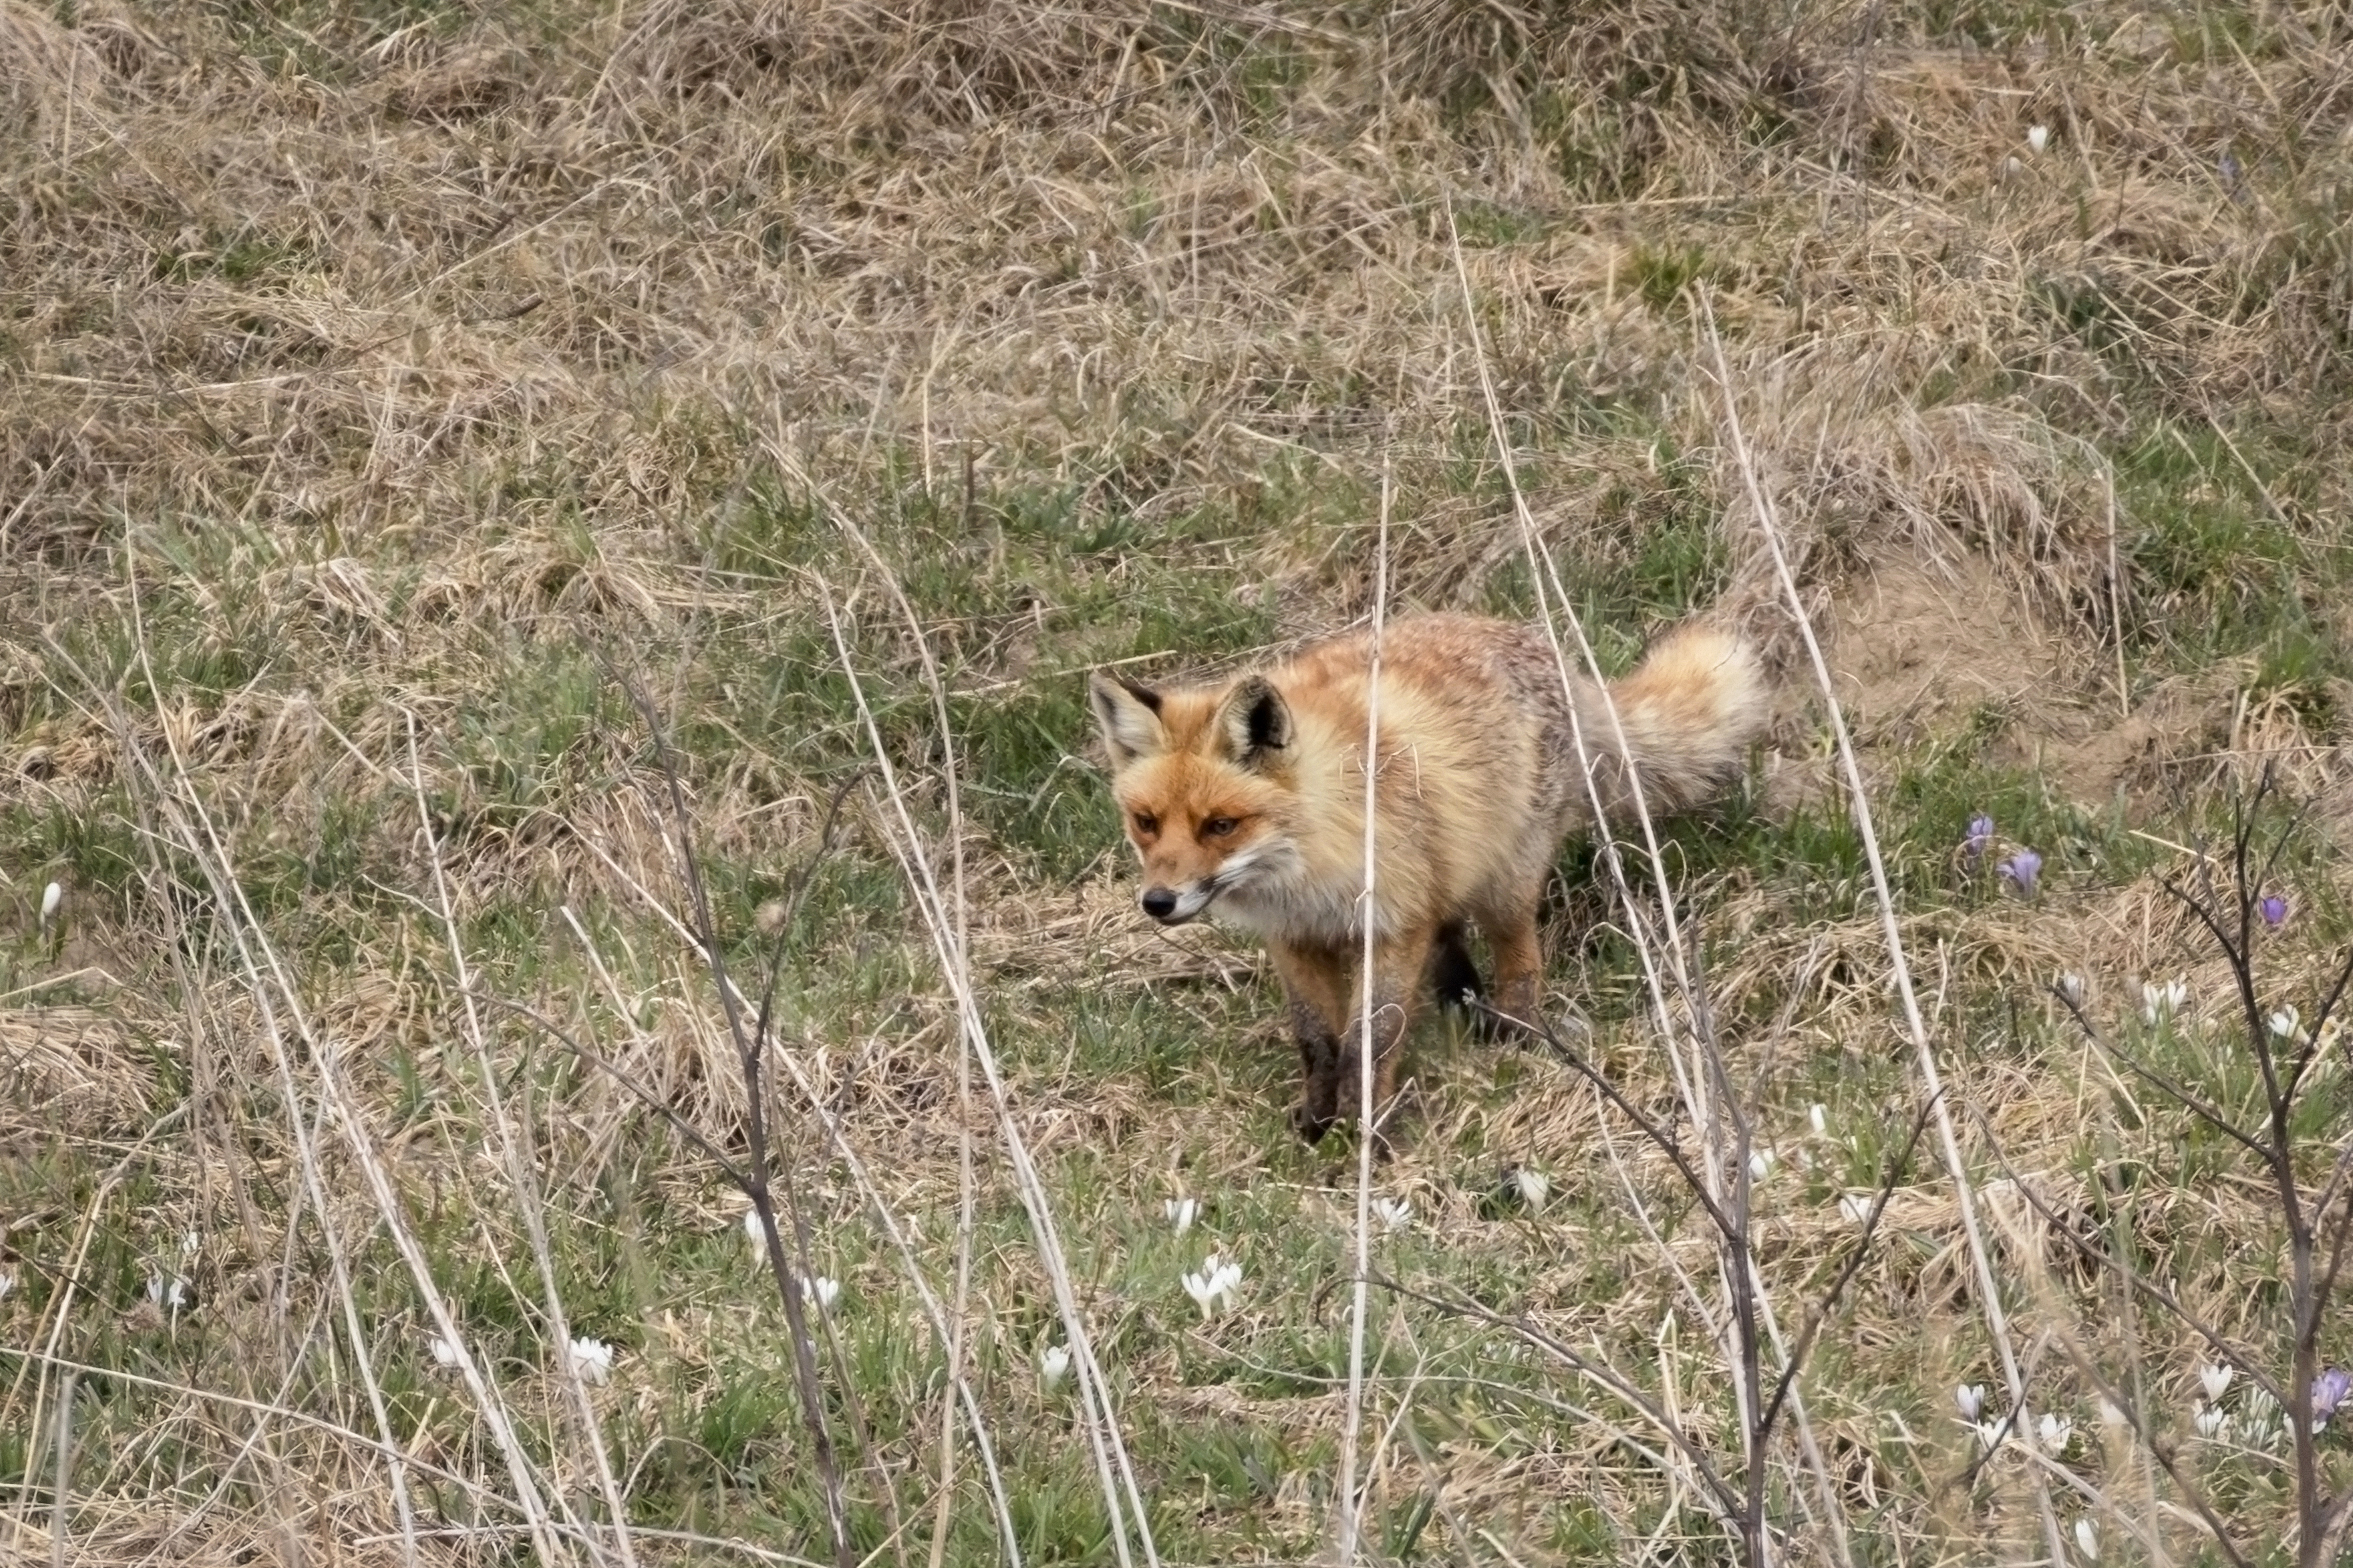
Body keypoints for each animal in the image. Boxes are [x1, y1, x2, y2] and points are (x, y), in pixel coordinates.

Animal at [1090, 613, 1767, 1144]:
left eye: (1220, 825)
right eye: (1146, 823)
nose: (1157, 902)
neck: (1308, 860)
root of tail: (1541, 645)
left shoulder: (1389, 925)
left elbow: (1371, 1041)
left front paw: (1371, 1133)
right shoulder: (1295, 938)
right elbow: (1317, 1042)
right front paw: (1317, 1124)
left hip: (1506, 882)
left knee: (1519, 957)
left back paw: (1517, 1032)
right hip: (1444, 873)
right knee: (1450, 936)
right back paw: (1459, 1001)